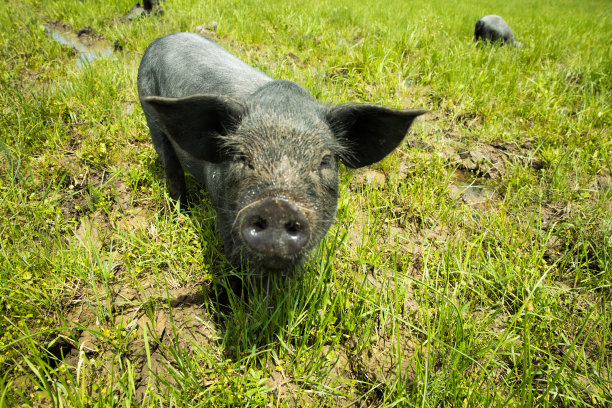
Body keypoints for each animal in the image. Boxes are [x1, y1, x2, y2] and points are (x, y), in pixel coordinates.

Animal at [138, 33, 426, 270]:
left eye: (325, 161)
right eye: (242, 157)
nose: (278, 204)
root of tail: (162, 38)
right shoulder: (222, 212)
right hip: (149, 114)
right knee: (170, 166)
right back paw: (181, 213)